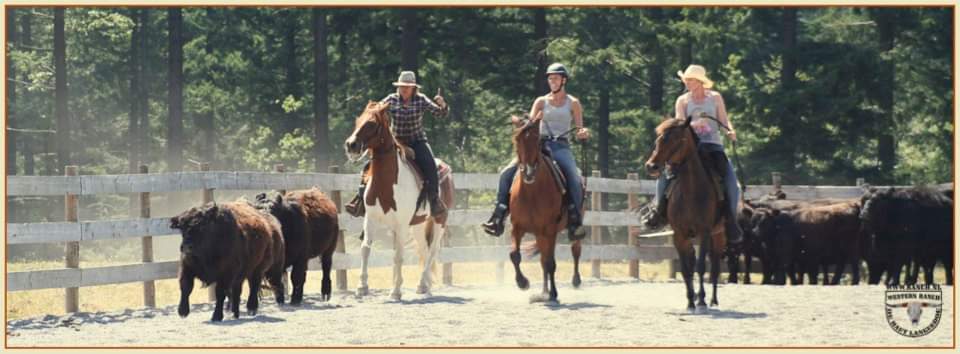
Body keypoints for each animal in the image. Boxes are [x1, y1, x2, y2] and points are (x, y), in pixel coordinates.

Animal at [344, 101, 456, 300]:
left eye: (371, 123)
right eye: (358, 120)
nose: (351, 145)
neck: (387, 184)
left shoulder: (402, 225)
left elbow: (398, 255)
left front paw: (396, 291)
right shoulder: (371, 219)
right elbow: (366, 249)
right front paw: (362, 287)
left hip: (440, 220)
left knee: (433, 250)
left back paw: (422, 284)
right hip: (418, 223)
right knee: (424, 249)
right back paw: (424, 285)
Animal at [510, 115, 584, 302]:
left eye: (537, 140)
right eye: (516, 139)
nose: (528, 173)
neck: (532, 192)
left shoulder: (549, 229)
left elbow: (551, 263)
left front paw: (553, 294)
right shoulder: (517, 227)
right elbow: (515, 255)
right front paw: (523, 282)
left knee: (575, 250)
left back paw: (575, 280)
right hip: (539, 234)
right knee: (543, 260)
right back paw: (543, 292)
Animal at [644, 116, 728, 312]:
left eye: (675, 140)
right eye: (658, 140)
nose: (651, 166)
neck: (691, 191)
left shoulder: (705, 232)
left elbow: (701, 266)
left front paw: (702, 301)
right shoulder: (679, 234)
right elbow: (685, 268)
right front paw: (690, 301)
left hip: (718, 235)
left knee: (714, 266)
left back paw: (712, 300)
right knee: (693, 260)